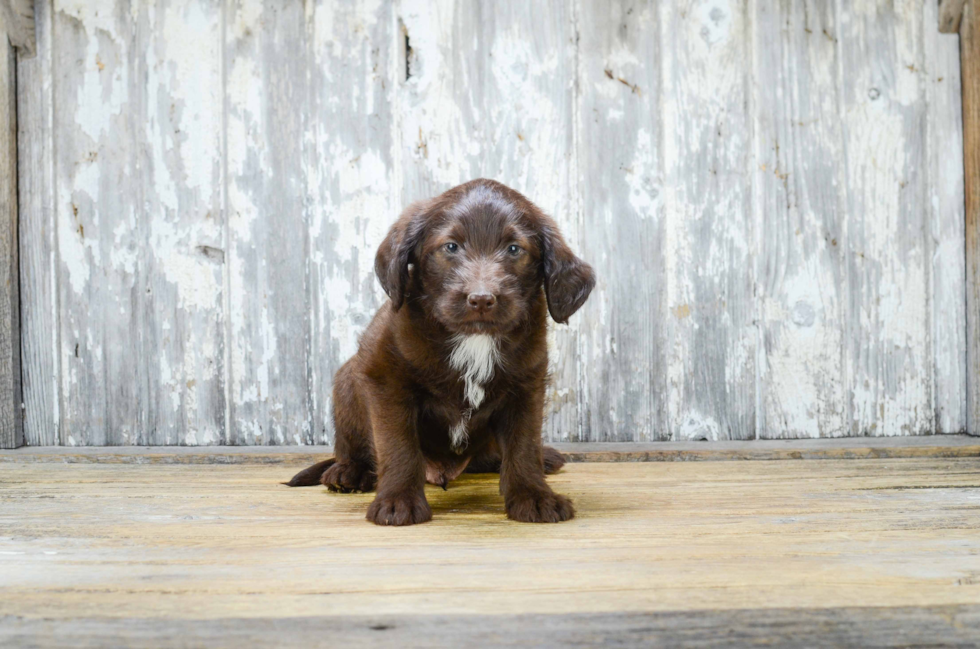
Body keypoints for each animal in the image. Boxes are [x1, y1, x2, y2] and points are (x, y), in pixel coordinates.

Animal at [288, 178, 592, 528]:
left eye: (515, 249)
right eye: (451, 247)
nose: (481, 299)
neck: (474, 339)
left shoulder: (527, 385)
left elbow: (524, 445)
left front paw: (534, 496)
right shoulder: (385, 378)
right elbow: (398, 445)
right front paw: (398, 501)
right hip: (347, 382)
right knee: (353, 448)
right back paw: (349, 472)